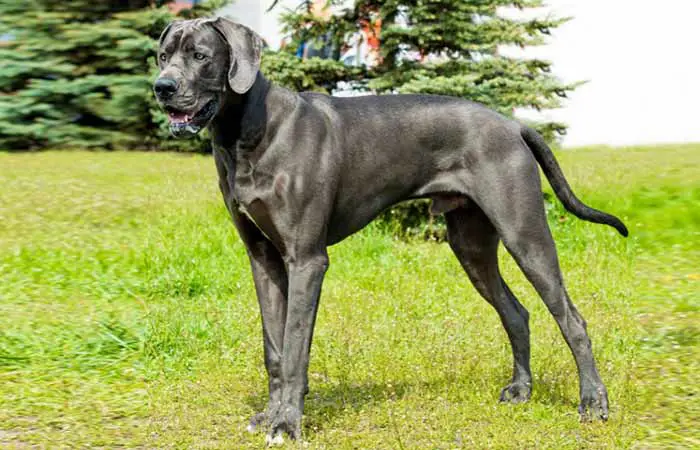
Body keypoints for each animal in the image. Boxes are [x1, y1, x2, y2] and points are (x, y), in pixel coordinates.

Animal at [154, 16, 628, 442]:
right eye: (162, 56)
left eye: (199, 56)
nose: (162, 87)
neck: (250, 131)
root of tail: (514, 124)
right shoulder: (263, 259)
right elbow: (274, 348)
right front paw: (270, 415)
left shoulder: (306, 261)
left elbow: (294, 351)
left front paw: (287, 424)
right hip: (471, 244)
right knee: (516, 312)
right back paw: (521, 390)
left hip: (524, 234)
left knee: (572, 318)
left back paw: (593, 403)